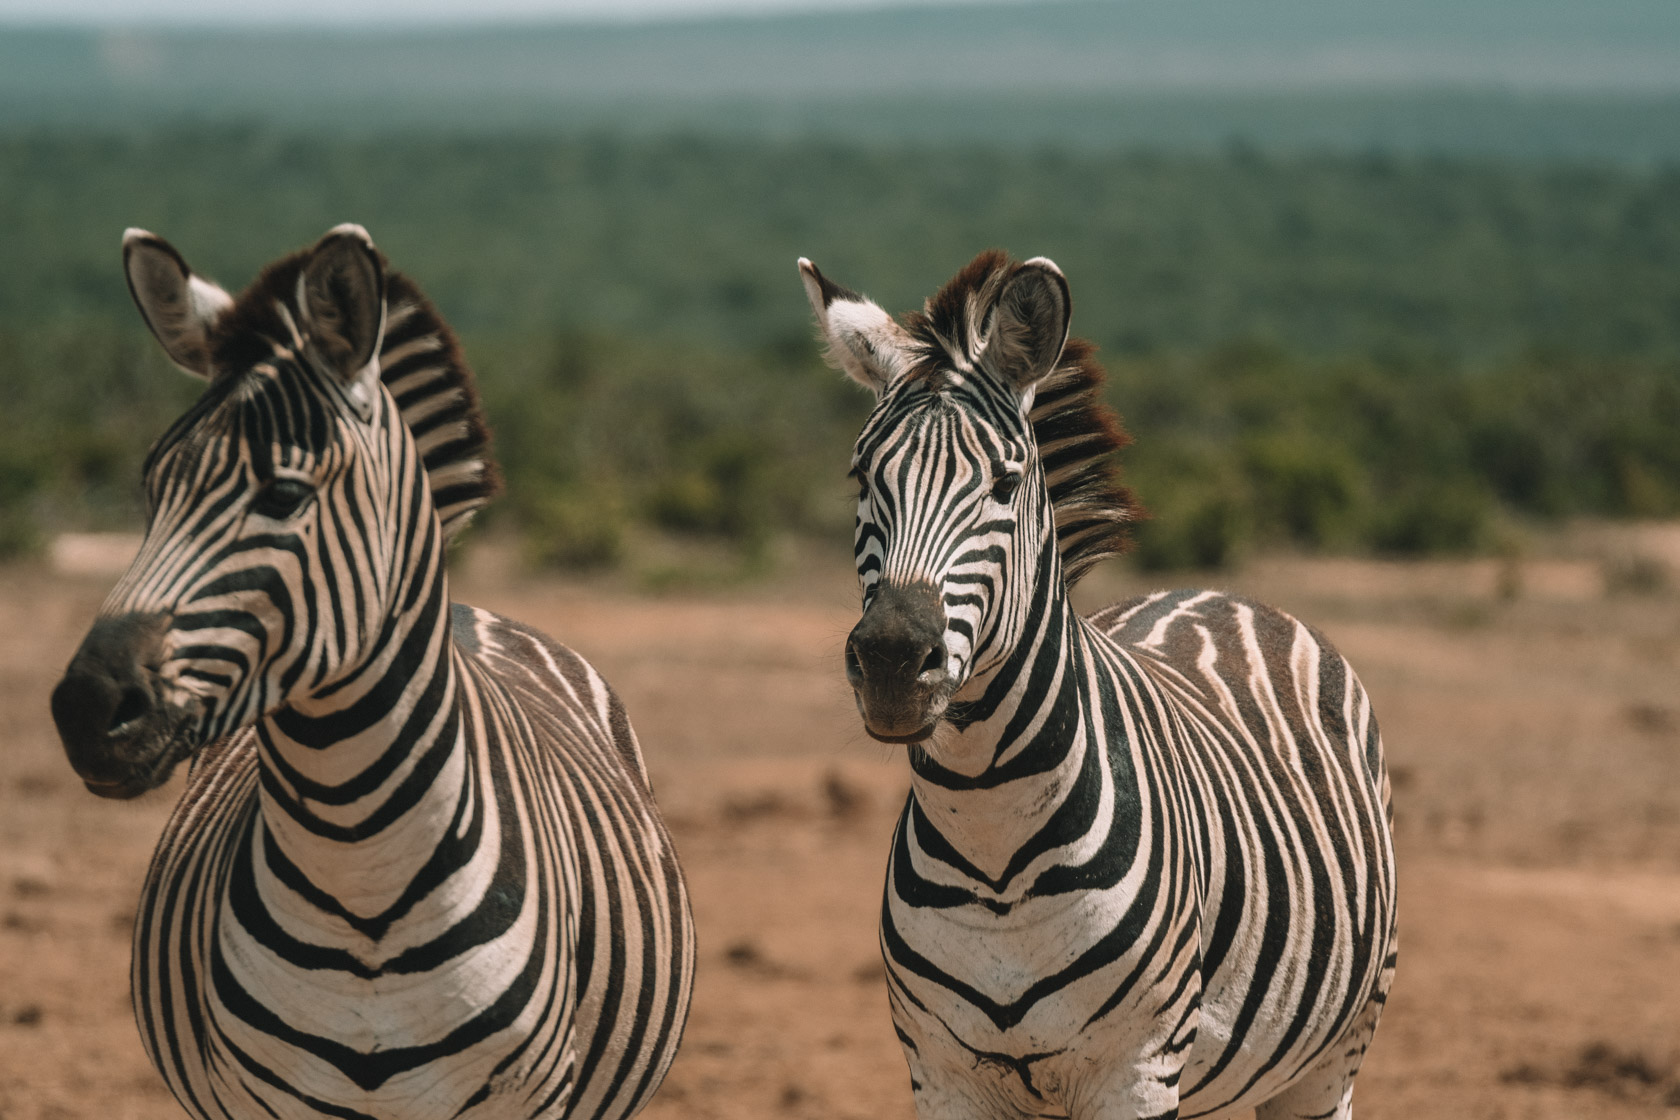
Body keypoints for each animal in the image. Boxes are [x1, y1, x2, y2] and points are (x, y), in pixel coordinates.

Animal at [792, 251, 1397, 1120]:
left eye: (1004, 485)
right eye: (861, 479)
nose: (892, 664)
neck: (991, 835)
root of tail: (1216, 594)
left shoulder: (1136, 1070)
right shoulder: (942, 1076)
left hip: (1330, 1056)